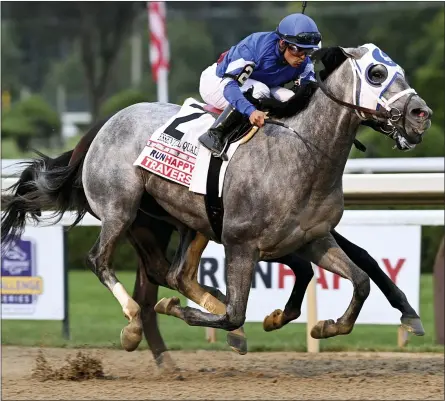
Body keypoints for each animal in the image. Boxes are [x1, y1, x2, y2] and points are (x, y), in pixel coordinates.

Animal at [3, 44, 430, 354]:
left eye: (401, 72)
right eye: (376, 74)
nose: (421, 113)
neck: (302, 153)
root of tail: (101, 126)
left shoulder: (312, 239)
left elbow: (360, 279)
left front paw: (327, 325)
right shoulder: (242, 244)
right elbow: (236, 313)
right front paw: (182, 310)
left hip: (182, 221)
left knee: (174, 273)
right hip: (120, 209)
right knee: (100, 260)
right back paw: (134, 321)